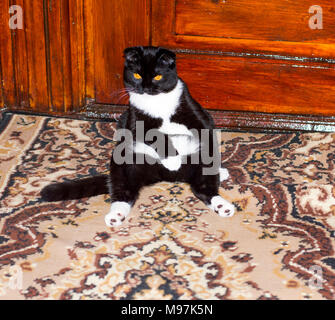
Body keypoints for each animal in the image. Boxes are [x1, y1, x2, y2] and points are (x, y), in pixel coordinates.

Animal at [40, 46, 235, 226]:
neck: (157, 103)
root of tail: (165, 175)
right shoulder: (134, 120)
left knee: (203, 187)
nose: (146, 88)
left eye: (157, 77)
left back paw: (223, 203)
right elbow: (156, 136)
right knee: (123, 191)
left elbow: (204, 131)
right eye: (137, 75)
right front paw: (172, 159)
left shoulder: (196, 112)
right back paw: (116, 215)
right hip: (125, 161)